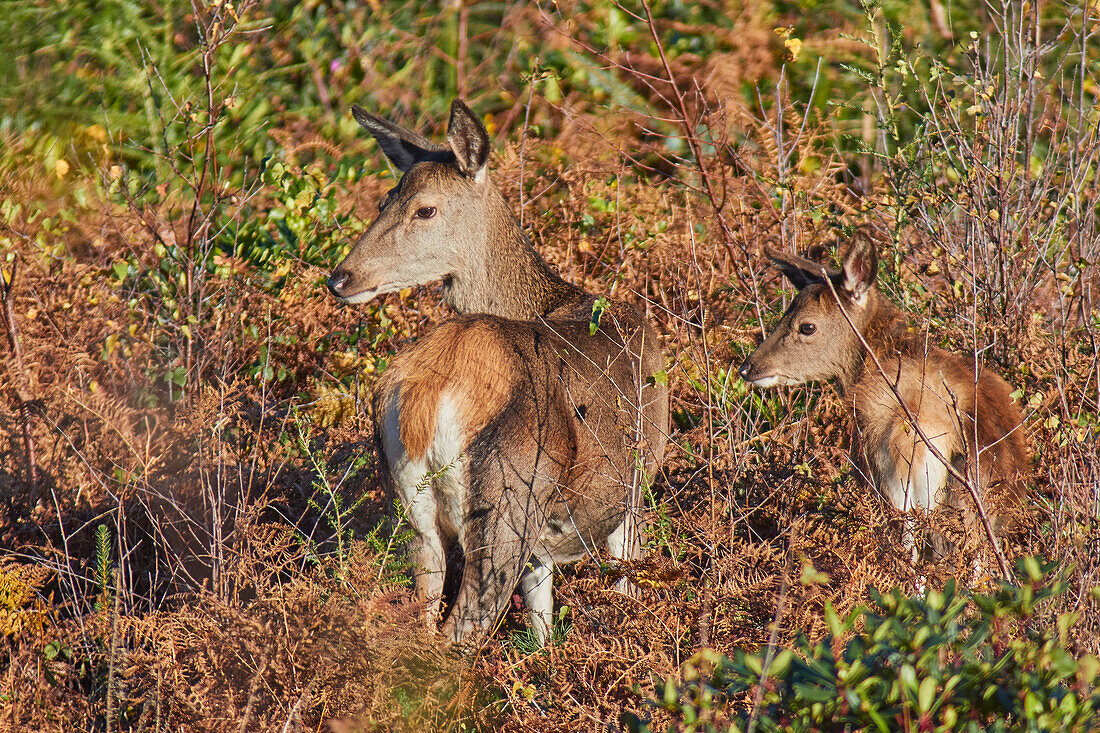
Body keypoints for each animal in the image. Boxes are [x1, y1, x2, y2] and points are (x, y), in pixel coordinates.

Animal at [325, 100, 668, 642]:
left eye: (420, 207)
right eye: (385, 202)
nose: (340, 277)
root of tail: (426, 394)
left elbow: (542, 626)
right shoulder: (635, 488)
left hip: (411, 509)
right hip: (509, 493)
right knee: (461, 626)